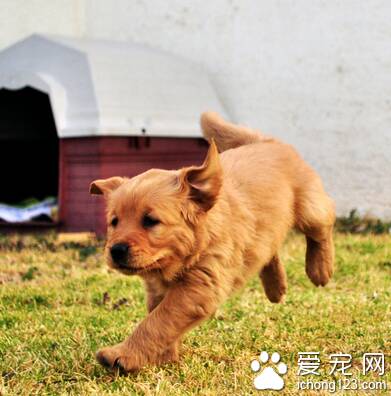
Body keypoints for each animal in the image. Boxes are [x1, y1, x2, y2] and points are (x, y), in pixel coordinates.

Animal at [90, 112, 336, 374]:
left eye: (150, 221)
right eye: (114, 221)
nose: (116, 250)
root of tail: (265, 141)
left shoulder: (199, 287)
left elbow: (157, 322)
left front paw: (123, 355)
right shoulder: (159, 290)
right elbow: (158, 318)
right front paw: (163, 357)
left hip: (310, 208)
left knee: (324, 224)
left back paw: (320, 269)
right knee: (269, 248)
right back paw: (275, 288)